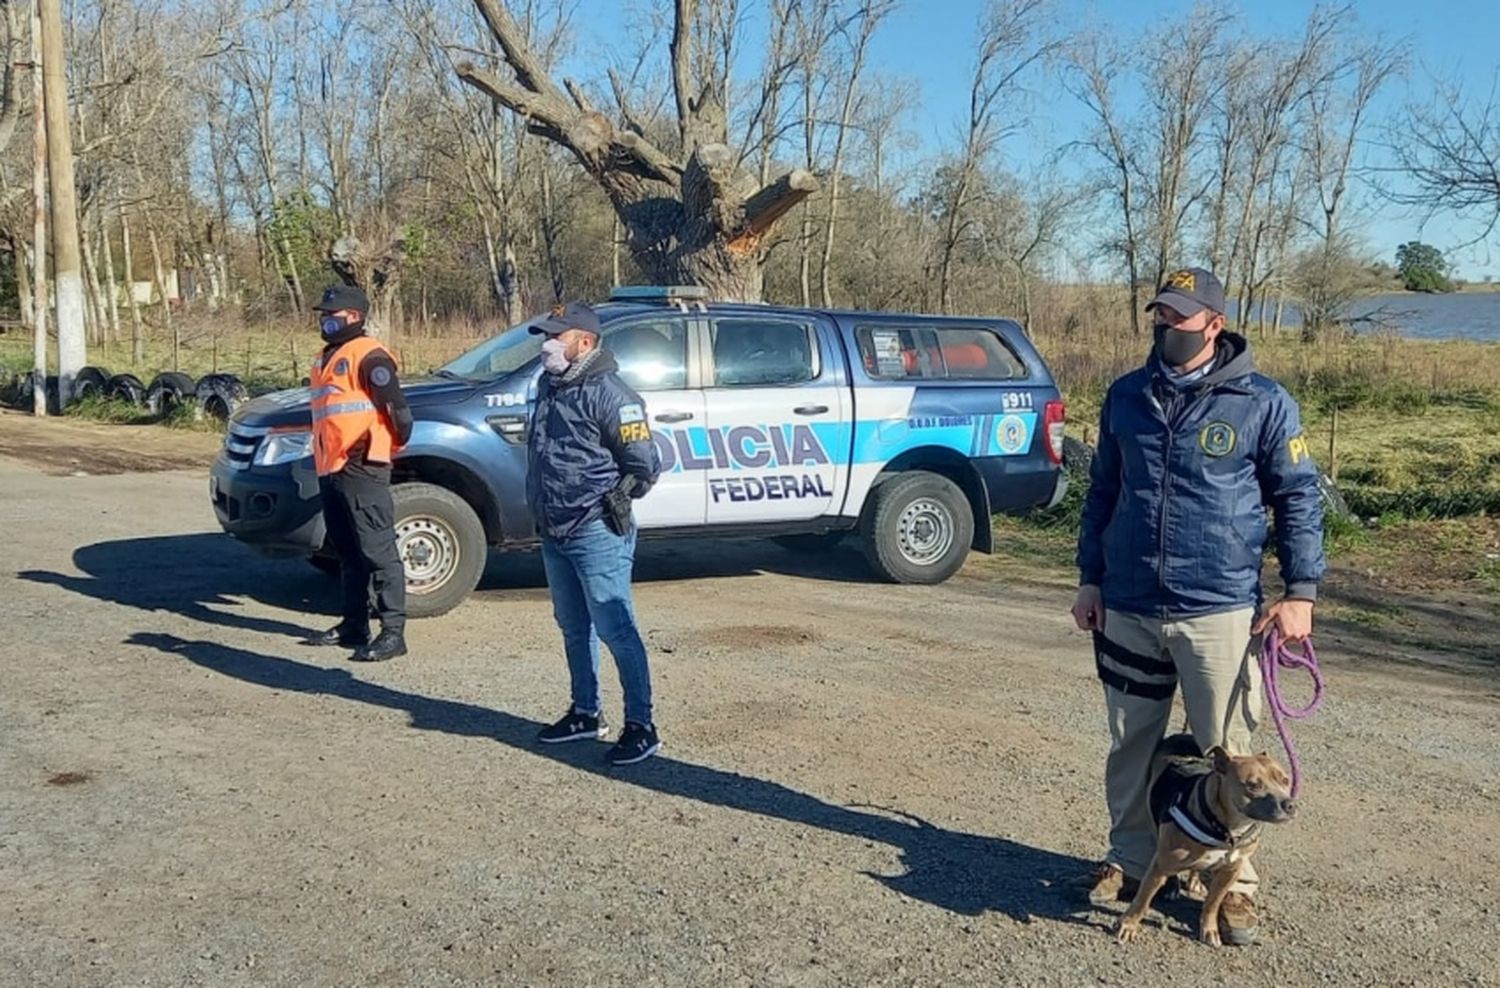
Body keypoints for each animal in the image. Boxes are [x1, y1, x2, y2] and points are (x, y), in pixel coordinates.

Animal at [1110, 737, 1296, 947]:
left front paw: (1209, 929)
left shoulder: (1231, 870)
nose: (1290, 804)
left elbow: (1212, 904)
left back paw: (1195, 880)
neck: (1227, 828)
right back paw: (1171, 886)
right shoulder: (1159, 866)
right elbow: (1142, 900)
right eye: (1253, 785)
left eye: (1285, 780)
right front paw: (1128, 925)